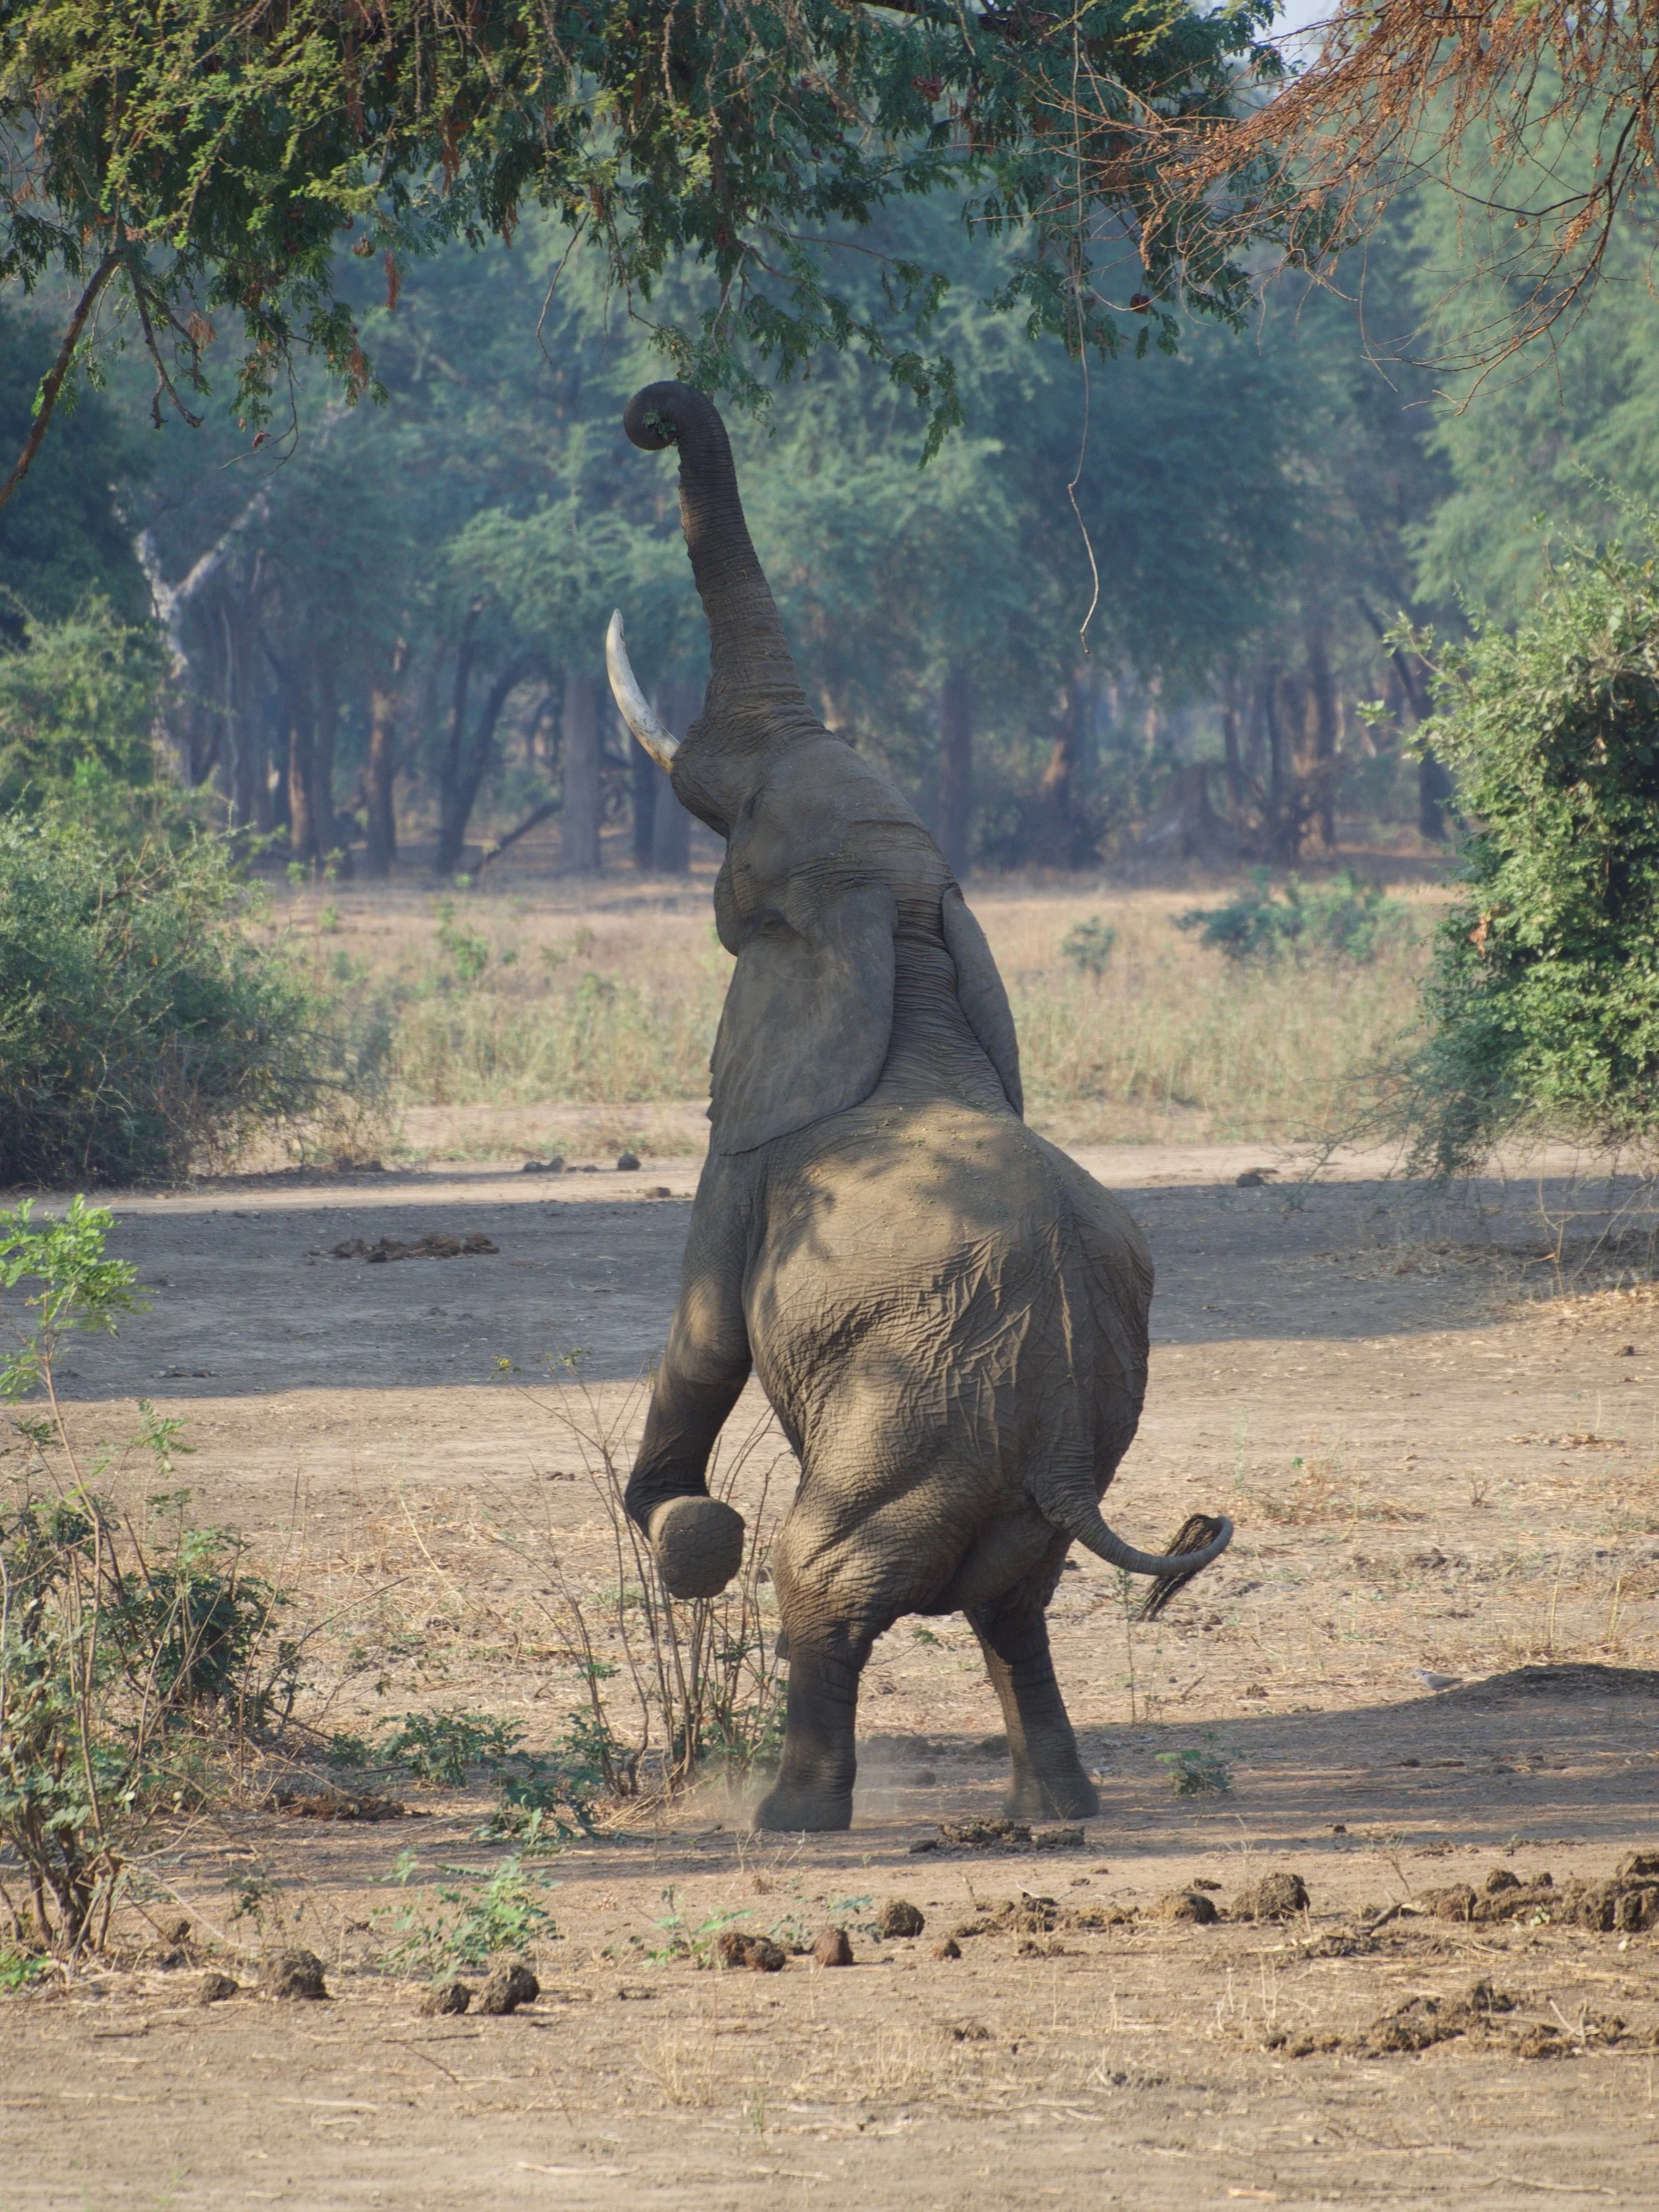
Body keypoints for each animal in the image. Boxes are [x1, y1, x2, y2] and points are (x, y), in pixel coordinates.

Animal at [604, 380, 1232, 1832]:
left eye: (732, 846)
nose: (652, 412)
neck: (901, 925)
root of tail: (1059, 1452)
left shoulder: (747, 1150)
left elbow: (704, 1336)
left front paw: (679, 1523)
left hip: (910, 1412)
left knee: (823, 1578)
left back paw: (792, 1815)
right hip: (1038, 1437)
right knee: (1017, 1610)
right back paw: (1057, 1806)